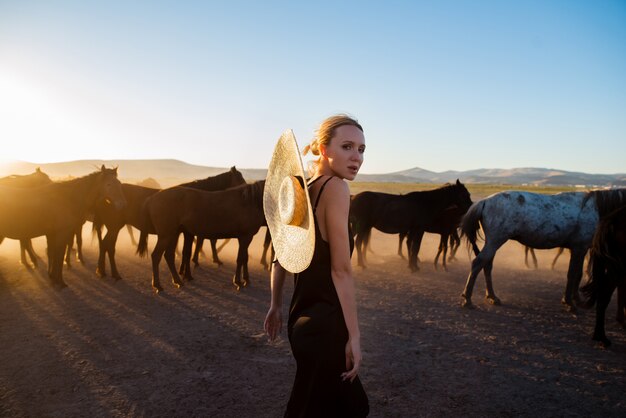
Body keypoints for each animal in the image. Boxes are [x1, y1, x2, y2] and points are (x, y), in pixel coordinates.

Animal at [136, 181, 264, 292]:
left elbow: (244, 258)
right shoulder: (245, 237)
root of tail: (152, 198)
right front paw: (238, 281)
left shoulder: (245, 238)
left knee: (169, 256)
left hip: (173, 234)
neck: (249, 202)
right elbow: (240, 259)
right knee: (156, 256)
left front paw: (246, 279)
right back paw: (158, 285)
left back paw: (178, 281)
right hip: (166, 236)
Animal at [458, 189, 624, 310]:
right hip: (495, 241)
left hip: (493, 242)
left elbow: (578, 274)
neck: (595, 209)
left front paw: (576, 299)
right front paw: (569, 302)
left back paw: (492, 296)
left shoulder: (580, 249)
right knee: (478, 263)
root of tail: (485, 201)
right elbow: (572, 274)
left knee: (486, 265)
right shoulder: (579, 248)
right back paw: (468, 299)